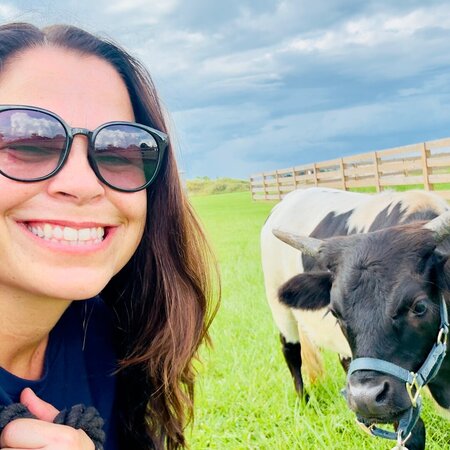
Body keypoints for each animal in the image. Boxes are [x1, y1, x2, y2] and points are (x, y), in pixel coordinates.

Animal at [260, 187, 450, 450]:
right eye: (336, 312)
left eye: (419, 306)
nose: (364, 398)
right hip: (280, 310)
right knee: (291, 353)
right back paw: (303, 401)